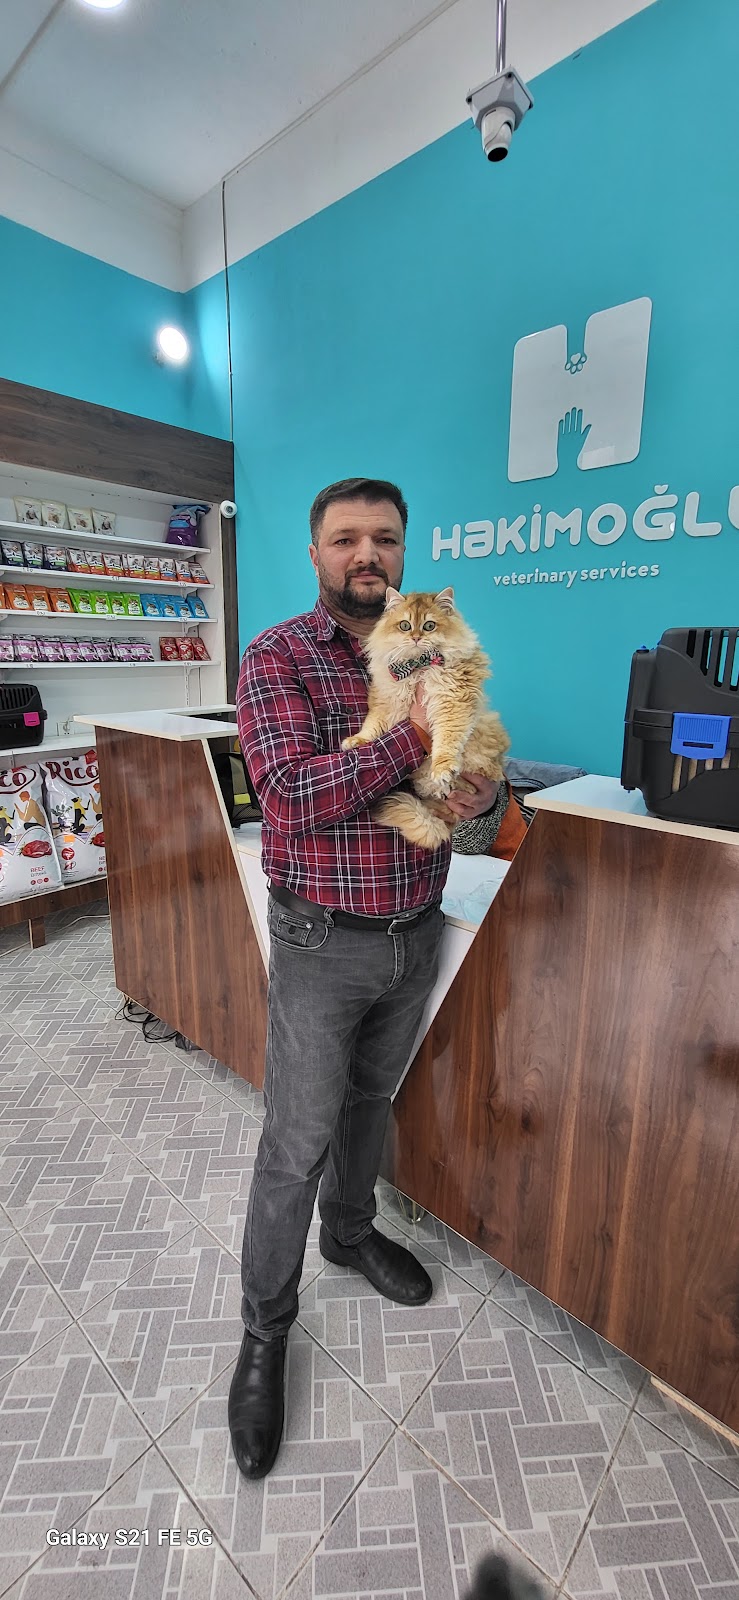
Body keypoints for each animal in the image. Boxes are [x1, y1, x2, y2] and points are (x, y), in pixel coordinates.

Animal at [342, 586, 510, 850]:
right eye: (405, 626)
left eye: (429, 626)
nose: (416, 638)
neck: (417, 667)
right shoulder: (387, 699)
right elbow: (372, 727)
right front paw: (356, 741)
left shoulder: (452, 703)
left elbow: (446, 742)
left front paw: (442, 768)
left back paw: (446, 782)